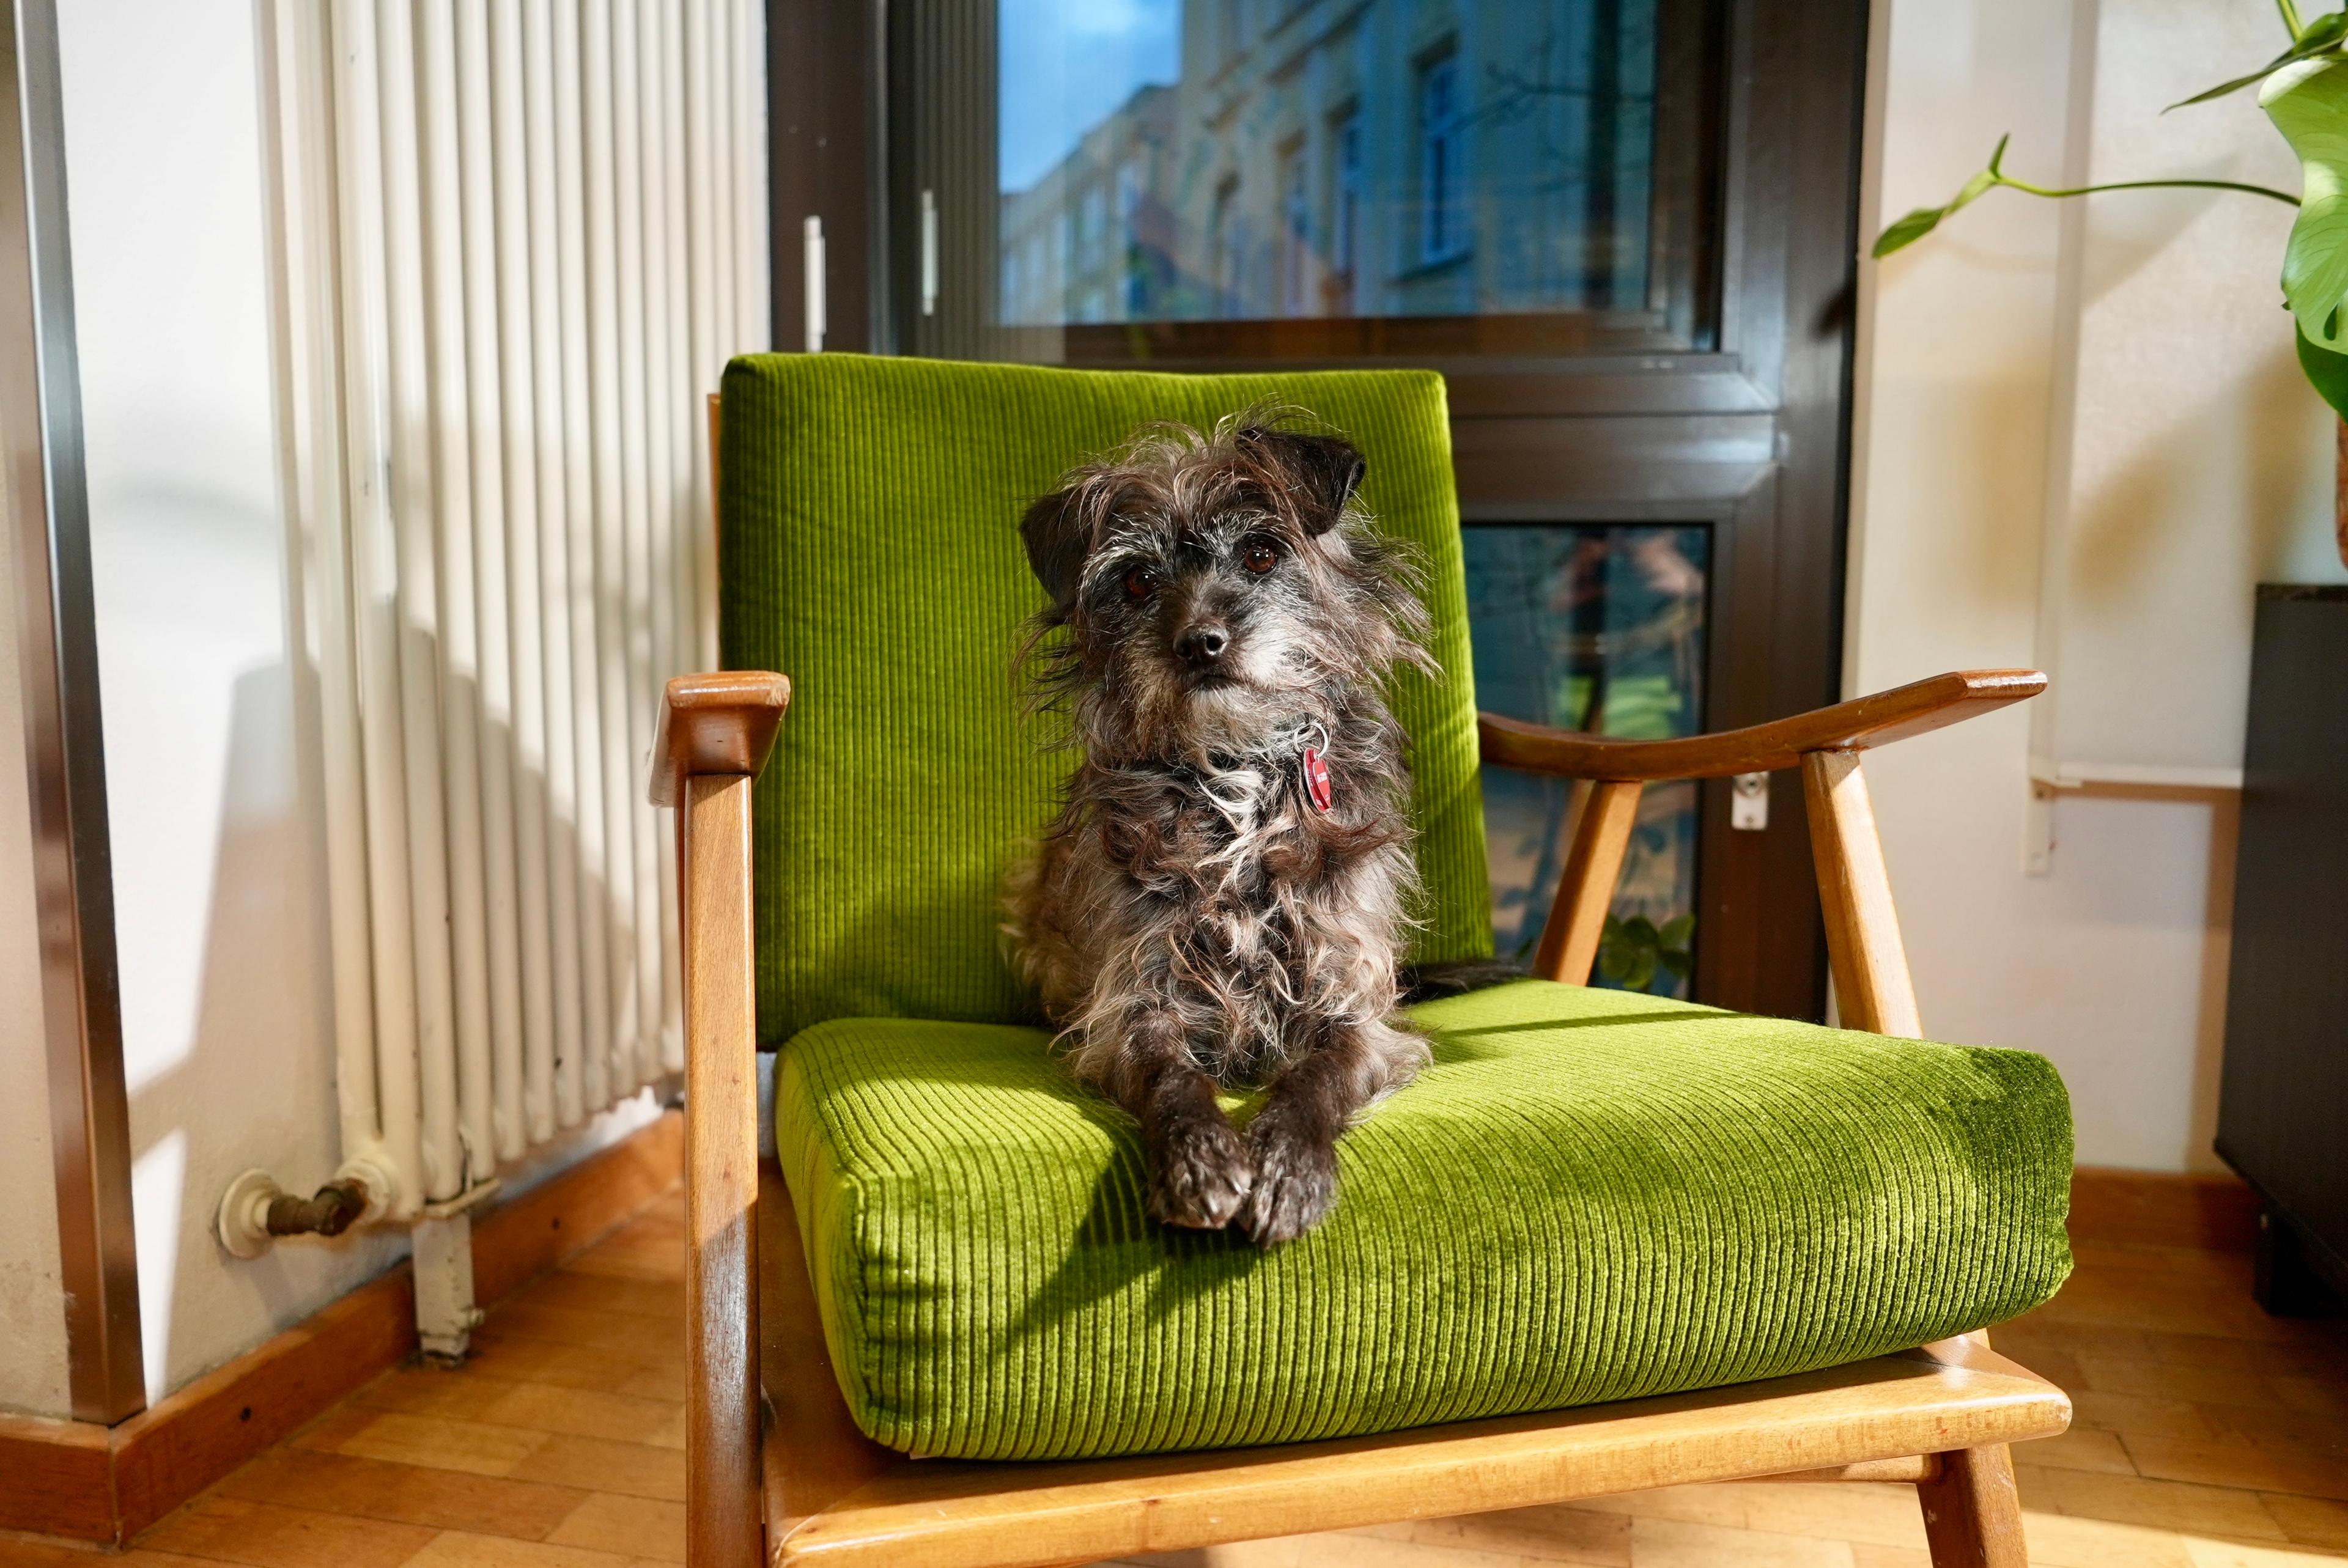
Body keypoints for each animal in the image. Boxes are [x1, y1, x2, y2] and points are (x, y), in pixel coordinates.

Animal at [1005, 415, 1427, 1248]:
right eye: (1138, 581)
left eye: (1262, 553)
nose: (1199, 642)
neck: (1238, 771)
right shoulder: (1135, 1006)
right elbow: (1173, 1078)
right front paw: (1199, 1160)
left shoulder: (1353, 1008)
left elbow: (1315, 1079)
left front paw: (1288, 1167)